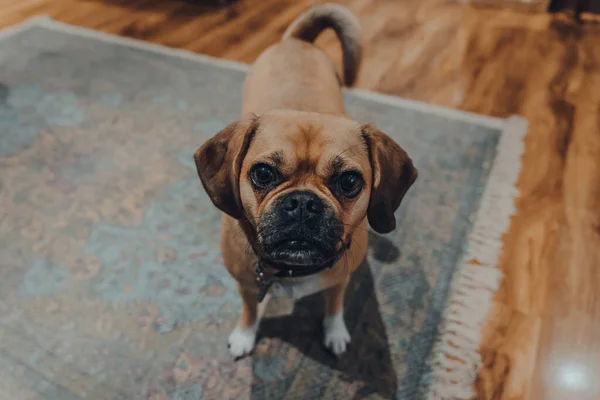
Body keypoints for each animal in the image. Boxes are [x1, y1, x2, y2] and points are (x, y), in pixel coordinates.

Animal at [195, 3, 414, 358]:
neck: (291, 270)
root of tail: (297, 41)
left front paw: (335, 332)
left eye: (349, 181)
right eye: (263, 173)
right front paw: (245, 334)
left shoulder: (340, 280)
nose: (302, 203)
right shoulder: (245, 284)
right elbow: (249, 309)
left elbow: (335, 306)